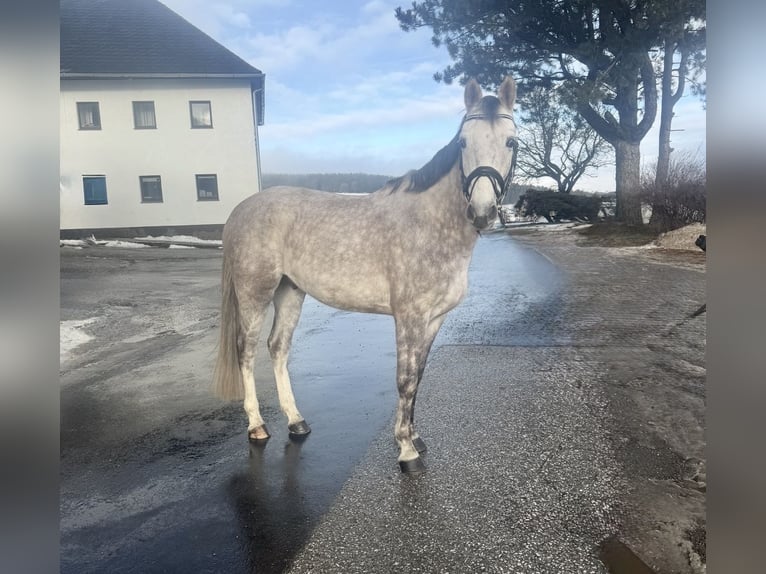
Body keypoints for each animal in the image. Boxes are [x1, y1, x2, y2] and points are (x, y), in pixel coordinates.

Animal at [214, 77, 519, 473]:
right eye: (463, 142)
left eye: (511, 142)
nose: (482, 212)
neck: (429, 224)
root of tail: (239, 210)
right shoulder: (409, 316)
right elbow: (405, 380)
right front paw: (406, 451)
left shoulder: (434, 319)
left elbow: (419, 376)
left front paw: (416, 438)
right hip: (255, 292)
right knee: (246, 351)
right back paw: (256, 426)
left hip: (290, 291)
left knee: (277, 347)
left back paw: (296, 421)